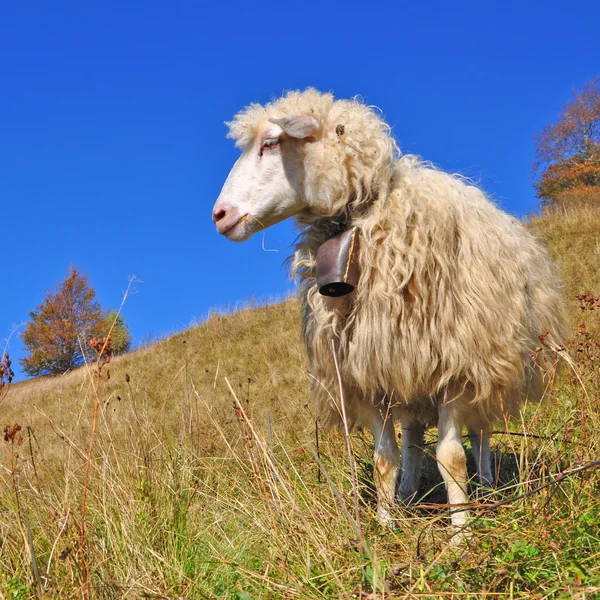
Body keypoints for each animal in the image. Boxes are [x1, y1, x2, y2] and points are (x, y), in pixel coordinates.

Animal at [212, 89, 568, 536]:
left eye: (271, 142)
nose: (219, 216)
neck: (360, 219)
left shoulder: (456, 366)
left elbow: (451, 457)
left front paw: (461, 534)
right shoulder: (369, 374)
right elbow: (385, 458)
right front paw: (385, 524)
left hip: (489, 365)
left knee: (481, 432)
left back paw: (486, 486)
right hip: (409, 373)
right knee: (413, 438)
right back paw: (409, 494)